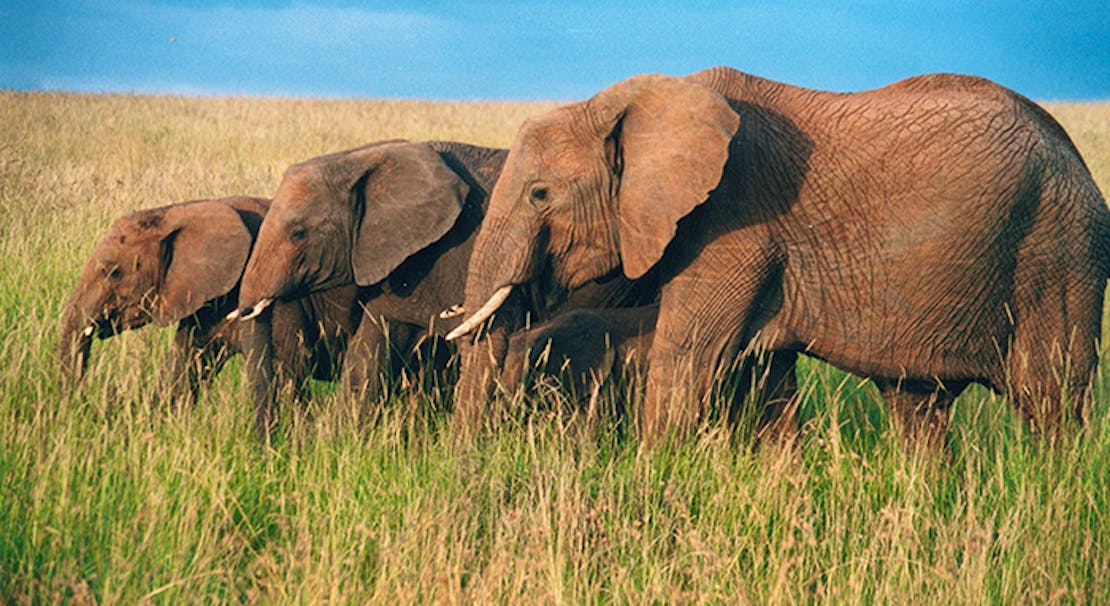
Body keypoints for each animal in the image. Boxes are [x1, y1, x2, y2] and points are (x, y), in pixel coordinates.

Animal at [447, 66, 1110, 447]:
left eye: (539, 195)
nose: (465, 463)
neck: (625, 105)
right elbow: (762, 377)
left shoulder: (733, 223)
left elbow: (687, 359)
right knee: (917, 405)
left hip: (1060, 251)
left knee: (1051, 399)